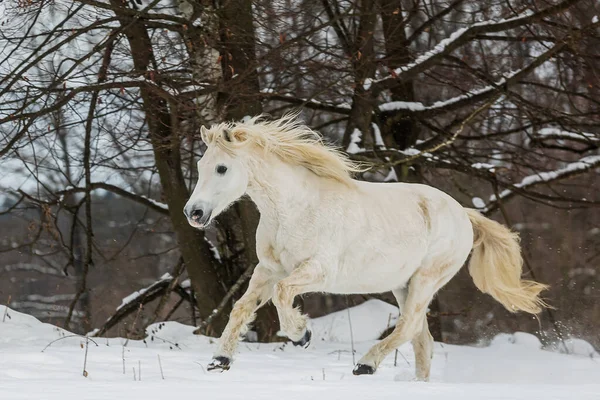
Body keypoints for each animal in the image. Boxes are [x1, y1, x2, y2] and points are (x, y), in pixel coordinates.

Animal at [184, 113, 548, 382]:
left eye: (222, 168)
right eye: (201, 167)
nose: (193, 213)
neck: (295, 207)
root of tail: (464, 214)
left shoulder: (317, 271)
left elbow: (282, 294)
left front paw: (302, 335)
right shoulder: (269, 269)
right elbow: (242, 307)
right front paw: (220, 360)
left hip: (426, 280)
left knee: (408, 327)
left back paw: (365, 365)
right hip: (403, 285)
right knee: (423, 340)